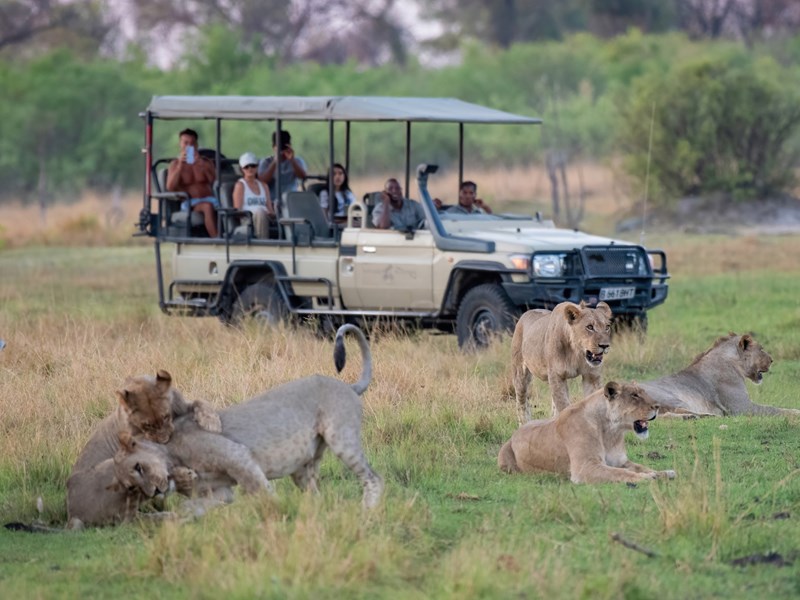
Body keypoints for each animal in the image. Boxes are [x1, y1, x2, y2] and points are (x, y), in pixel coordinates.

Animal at [115, 324, 384, 510]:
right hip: (305, 465)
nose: (153, 493)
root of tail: (349, 386)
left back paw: (367, 512)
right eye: (129, 487)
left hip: (342, 439)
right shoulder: (219, 491)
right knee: (314, 493)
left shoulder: (238, 457)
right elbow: (191, 507)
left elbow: (263, 492)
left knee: (374, 478)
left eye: (138, 468)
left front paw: (276, 516)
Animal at [500, 382, 676, 486]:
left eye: (642, 393)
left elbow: (641, 467)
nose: (658, 406)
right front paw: (647, 478)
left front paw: (664, 473)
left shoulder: (620, 461)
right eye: (634, 395)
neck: (610, 431)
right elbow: (619, 473)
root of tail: (515, 432)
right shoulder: (585, 467)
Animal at [632, 332, 800, 418]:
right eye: (761, 349)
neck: (733, 362)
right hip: (672, 397)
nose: (772, 360)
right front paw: (796, 413)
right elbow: (775, 409)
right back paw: (706, 415)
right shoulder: (742, 408)